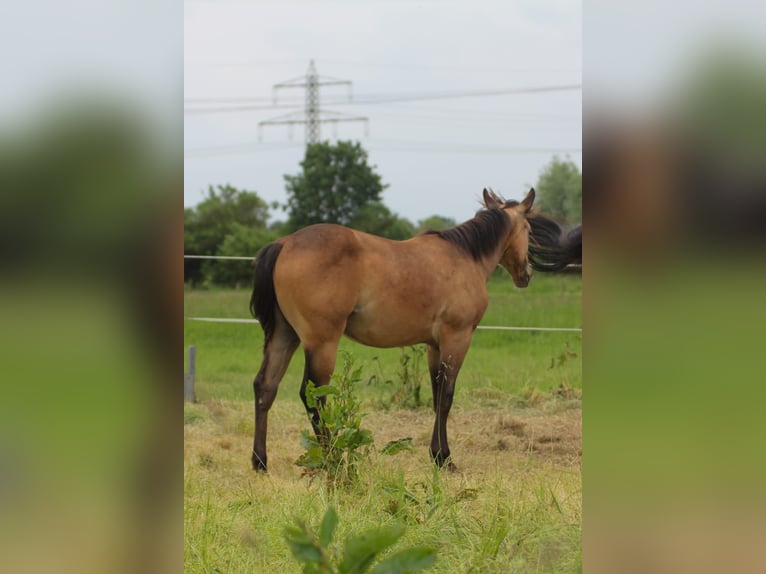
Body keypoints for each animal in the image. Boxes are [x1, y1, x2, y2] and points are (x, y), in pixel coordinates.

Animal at [248, 187, 574, 471]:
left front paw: (437, 454)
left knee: (265, 387)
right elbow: (446, 397)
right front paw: (444, 458)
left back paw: (260, 462)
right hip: (321, 343)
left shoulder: (434, 345)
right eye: (529, 230)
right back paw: (332, 459)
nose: (526, 274)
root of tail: (285, 244)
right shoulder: (457, 338)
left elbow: (436, 396)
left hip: (284, 336)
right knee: (314, 396)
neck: (464, 256)